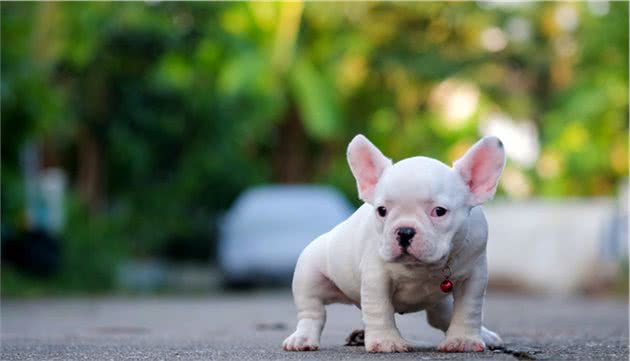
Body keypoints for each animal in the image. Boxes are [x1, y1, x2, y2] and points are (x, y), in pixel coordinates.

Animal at [284, 134, 506, 352]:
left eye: (439, 211)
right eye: (382, 210)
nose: (405, 231)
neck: (421, 268)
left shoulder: (473, 276)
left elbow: (469, 309)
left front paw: (463, 340)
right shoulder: (376, 277)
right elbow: (380, 309)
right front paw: (386, 341)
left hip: (439, 302)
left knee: (442, 317)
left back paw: (485, 335)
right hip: (308, 274)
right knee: (313, 311)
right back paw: (302, 338)